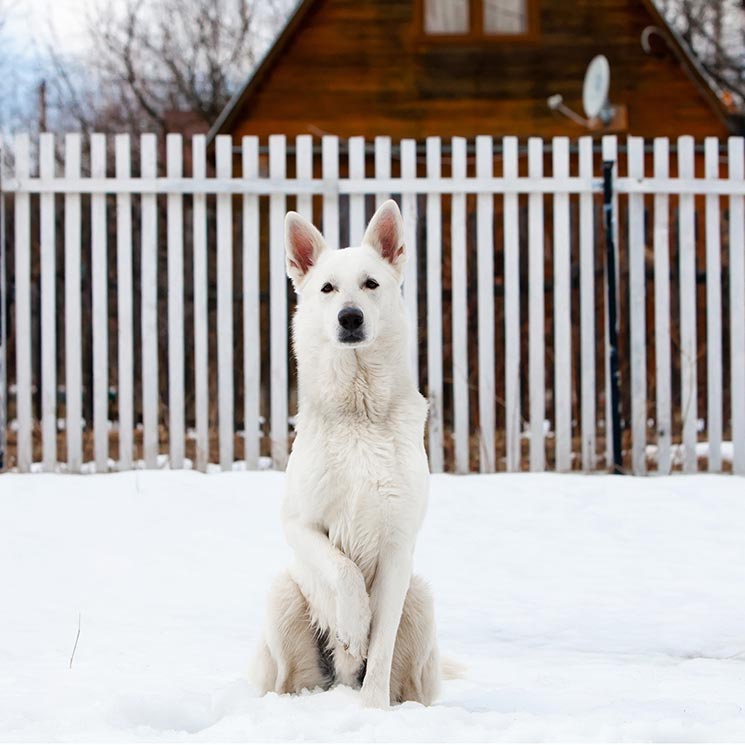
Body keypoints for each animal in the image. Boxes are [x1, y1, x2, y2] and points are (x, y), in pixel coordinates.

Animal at [253, 199, 438, 708]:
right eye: (328, 288)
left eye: (371, 284)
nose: (350, 317)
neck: (358, 415)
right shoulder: (300, 524)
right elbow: (344, 570)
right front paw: (353, 627)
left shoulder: (398, 548)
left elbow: (381, 642)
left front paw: (372, 709)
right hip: (282, 595)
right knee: (287, 680)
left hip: (421, 597)